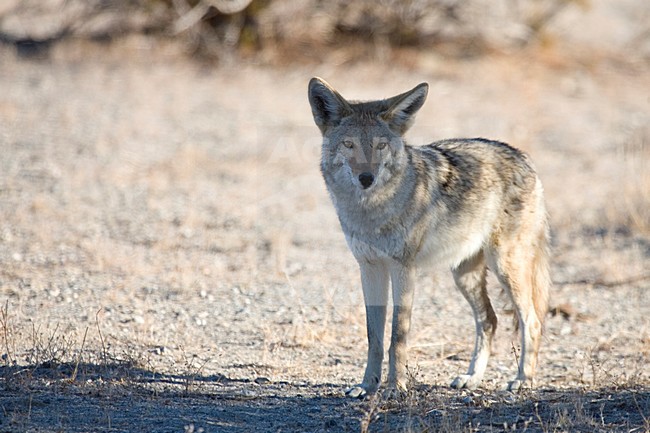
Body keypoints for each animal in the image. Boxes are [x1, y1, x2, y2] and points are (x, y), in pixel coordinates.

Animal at [307, 77, 551, 397]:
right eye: (350, 144)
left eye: (381, 146)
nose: (366, 179)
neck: (371, 210)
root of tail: (523, 157)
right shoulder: (369, 268)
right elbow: (374, 337)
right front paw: (367, 387)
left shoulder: (403, 268)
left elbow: (397, 336)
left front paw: (395, 388)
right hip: (464, 275)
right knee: (489, 319)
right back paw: (471, 377)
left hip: (506, 269)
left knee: (531, 320)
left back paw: (523, 380)